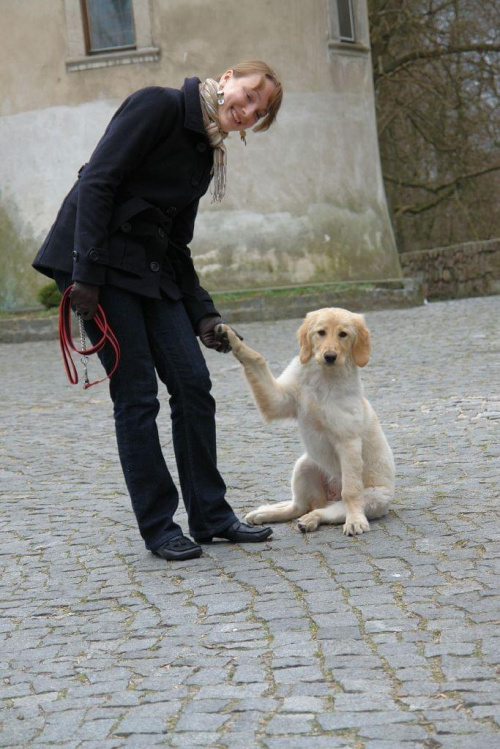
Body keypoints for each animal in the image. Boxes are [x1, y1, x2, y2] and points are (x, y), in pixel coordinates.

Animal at [217, 306, 396, 536]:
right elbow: (256, 359)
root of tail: (328, 496)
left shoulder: (348, 442)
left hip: (372, 498)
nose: (330, 357)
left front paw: (355, 520)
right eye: (321, 332)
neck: (323, 377)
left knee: (324, 509)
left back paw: (311, 520)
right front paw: (231, 338)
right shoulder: (278, 400)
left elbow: (351, 491)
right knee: (298, 507)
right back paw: (265, 513)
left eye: (343, 334)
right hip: (305, 466)